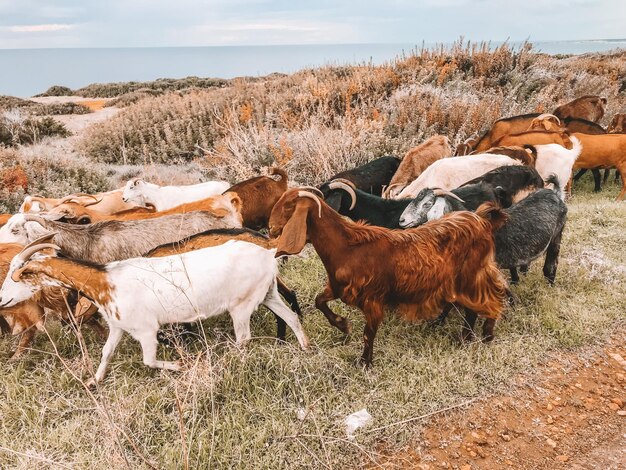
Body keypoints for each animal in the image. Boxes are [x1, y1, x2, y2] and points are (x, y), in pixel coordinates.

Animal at [0, 239, 308, 386]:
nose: (2, 298)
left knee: (244, 338)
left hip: (241, 305)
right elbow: (106, 352)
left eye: (18, 275)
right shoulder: (118, 326)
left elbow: (148, 361)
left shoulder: (146, 330)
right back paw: (305, 347)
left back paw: (235, 365)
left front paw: (183, 365)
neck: (104, 280)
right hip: (268, 293)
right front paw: (93, 381)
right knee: (291, 317)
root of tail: (267, 253)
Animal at [266, 189, 504, 366]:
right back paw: (466, 337)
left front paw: (364, 363)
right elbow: (319, 301)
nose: (270, 228)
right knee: (475, 307)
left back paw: (485, 335)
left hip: (472, 275)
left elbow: (368, 333)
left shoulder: (373, 298)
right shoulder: (338, 287)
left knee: (491, 297)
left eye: (287, 206)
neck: (347, 247)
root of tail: (480, 220)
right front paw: (342, 325)